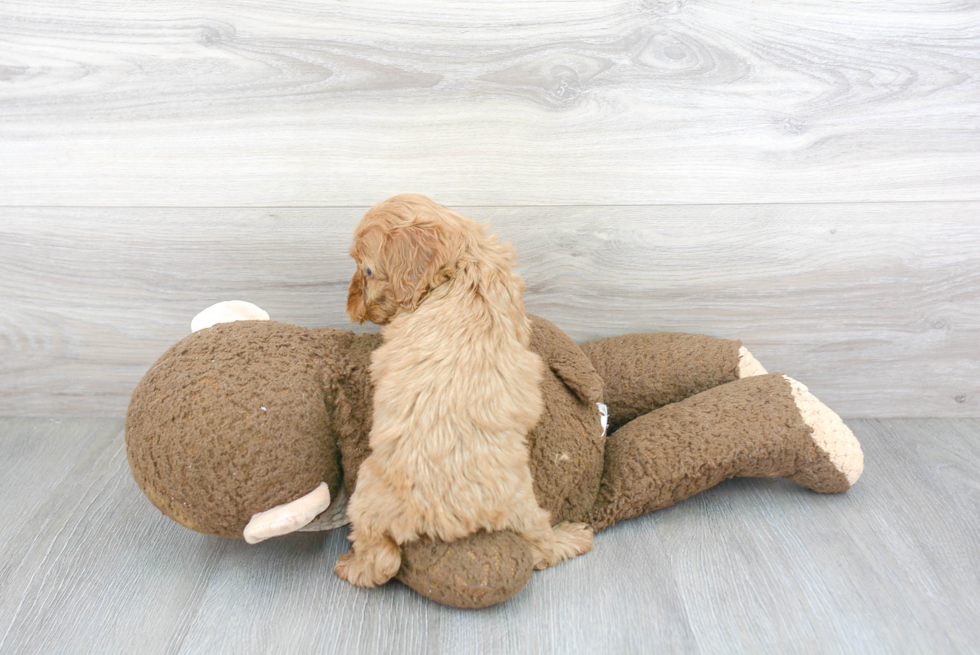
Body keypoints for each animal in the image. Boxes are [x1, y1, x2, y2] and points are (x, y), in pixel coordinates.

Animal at [334, 192, 592, 588]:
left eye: (367, 271)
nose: (350, 307)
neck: (460, 267)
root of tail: (448, 519)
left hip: (366, 489)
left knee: (383, 561)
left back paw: (351, 566)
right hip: (522, 502)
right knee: (540, 546)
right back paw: (573, 537)